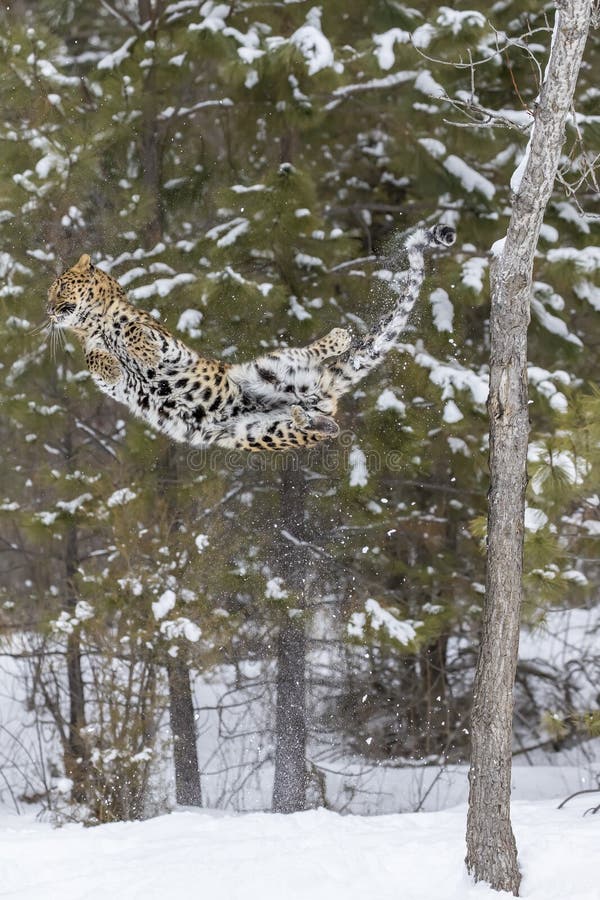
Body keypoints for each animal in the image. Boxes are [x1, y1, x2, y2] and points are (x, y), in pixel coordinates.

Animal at [46, 224, 455, 452]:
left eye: (60, 287)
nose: (48, 309)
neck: (94, 323)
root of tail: (320, 390)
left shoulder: (166, 343)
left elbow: (132, 330)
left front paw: (140, 352)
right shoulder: (109, 380)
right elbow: (96, 360)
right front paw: (111, 364)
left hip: (265, 368)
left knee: (308, 354)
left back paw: (337, 338)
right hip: (257, 432)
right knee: (326, 428)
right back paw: (306, 418)